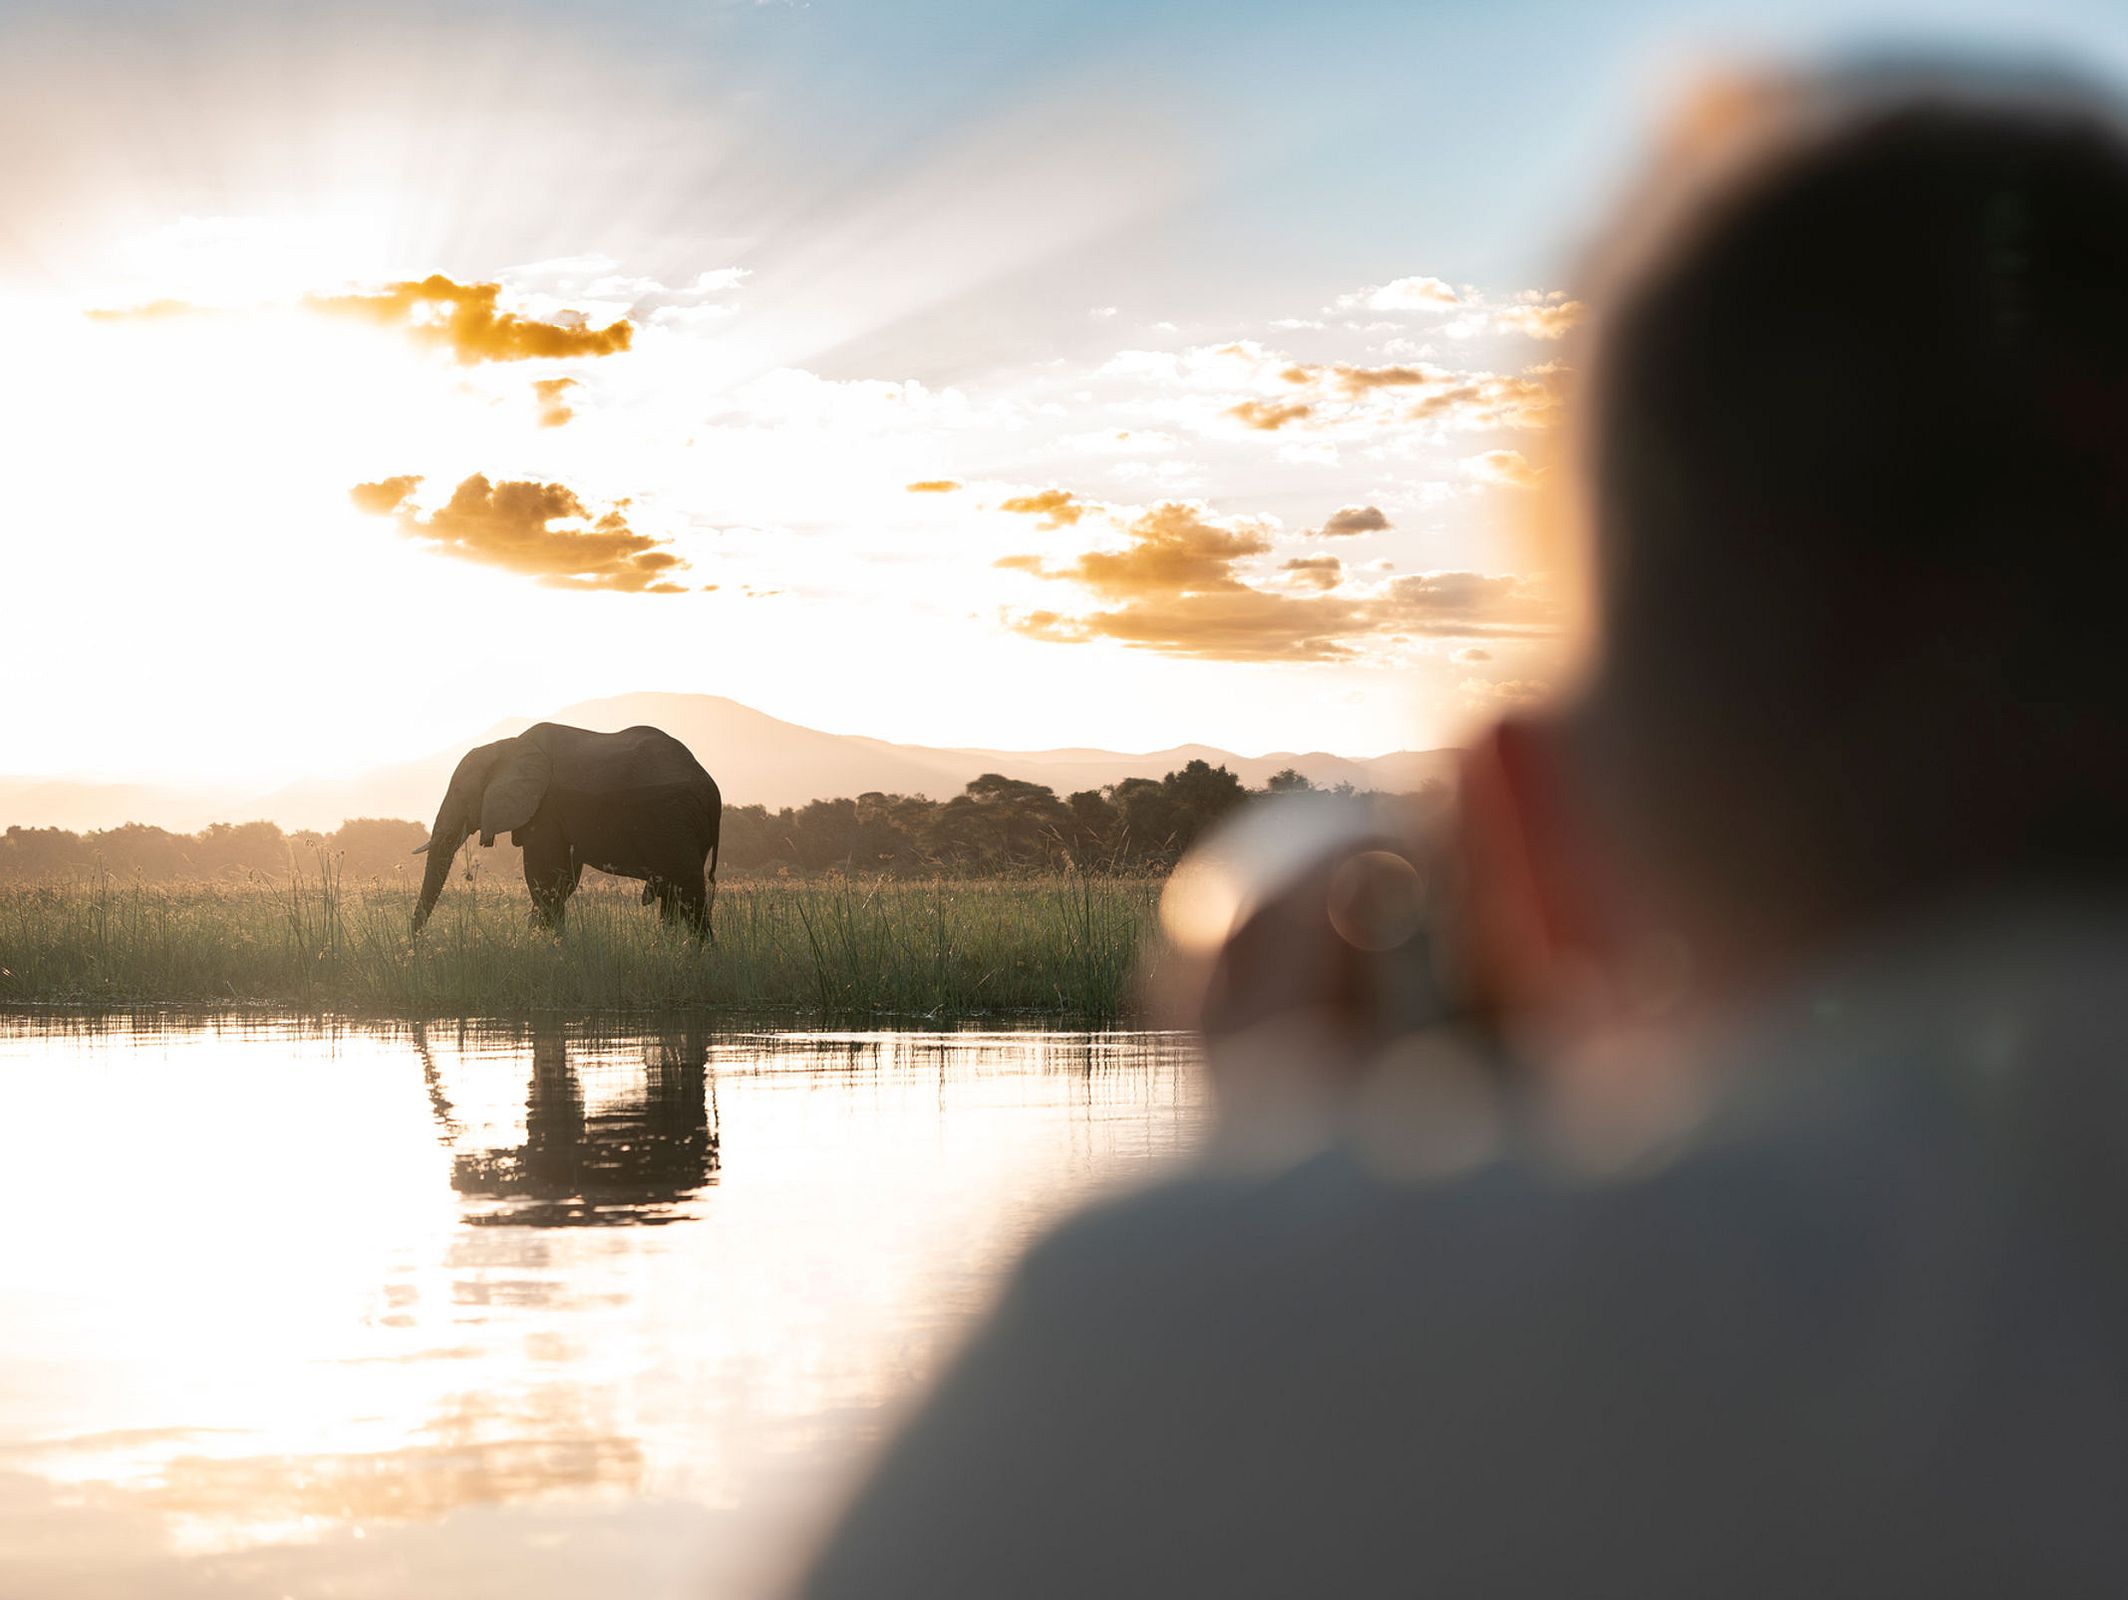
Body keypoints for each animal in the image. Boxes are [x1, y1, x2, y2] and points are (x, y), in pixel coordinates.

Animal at [411, 722, 722, 937]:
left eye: (460, 792)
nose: (417, 943)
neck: (507, 745)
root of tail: (711, 789)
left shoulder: (546, 807)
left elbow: (545, 880)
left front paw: (547, 946)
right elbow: (562, 881)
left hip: (672, 818)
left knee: (688, 891)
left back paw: (700, 955)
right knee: (673, 893)